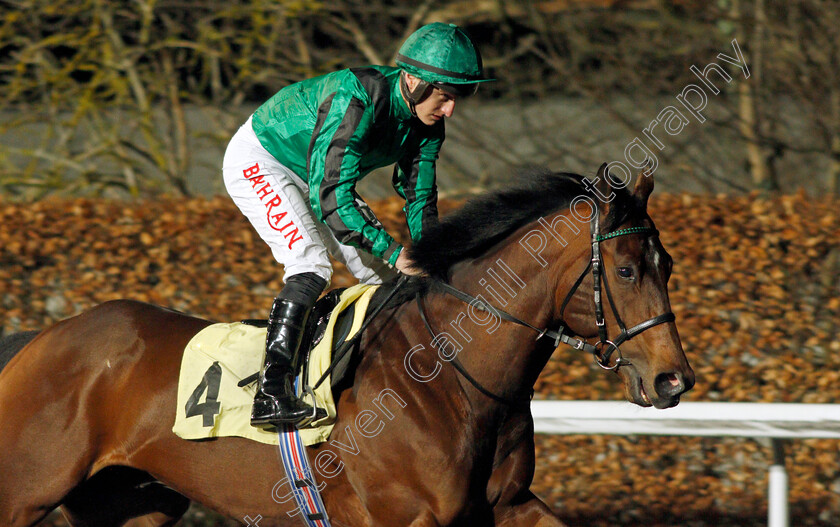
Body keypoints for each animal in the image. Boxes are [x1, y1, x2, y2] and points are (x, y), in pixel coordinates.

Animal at [0, 163, 696, 524]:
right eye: (626, 270)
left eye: (667, 264)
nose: (674, 379)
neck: (450, 376)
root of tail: (44, 336)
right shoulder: (402, 518)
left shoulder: (508, 505)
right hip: (27, 489)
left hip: (128, 503)